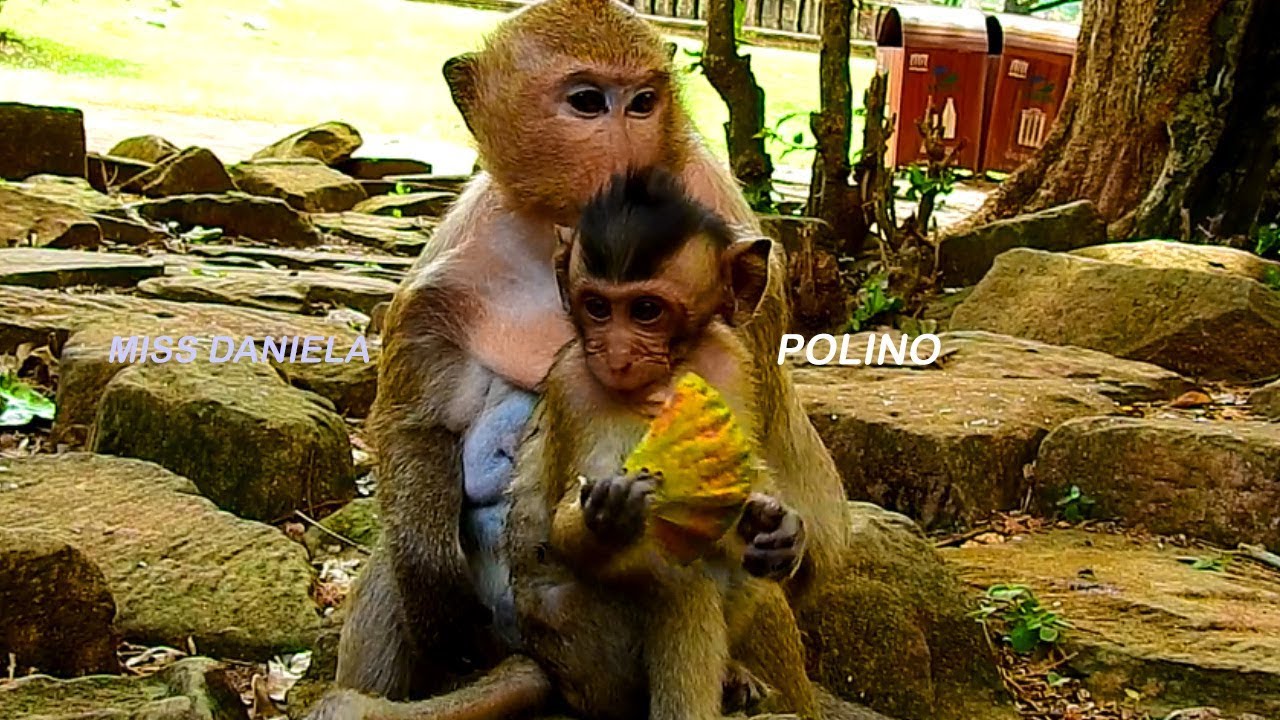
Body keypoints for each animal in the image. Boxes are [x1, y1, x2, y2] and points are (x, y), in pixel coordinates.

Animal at [313, 0, 853, 717]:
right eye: (588, 102)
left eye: (644, 102)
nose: (624, 154)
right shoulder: (458, 257)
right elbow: (419, 422)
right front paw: (433, 591)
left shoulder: (732, 239)